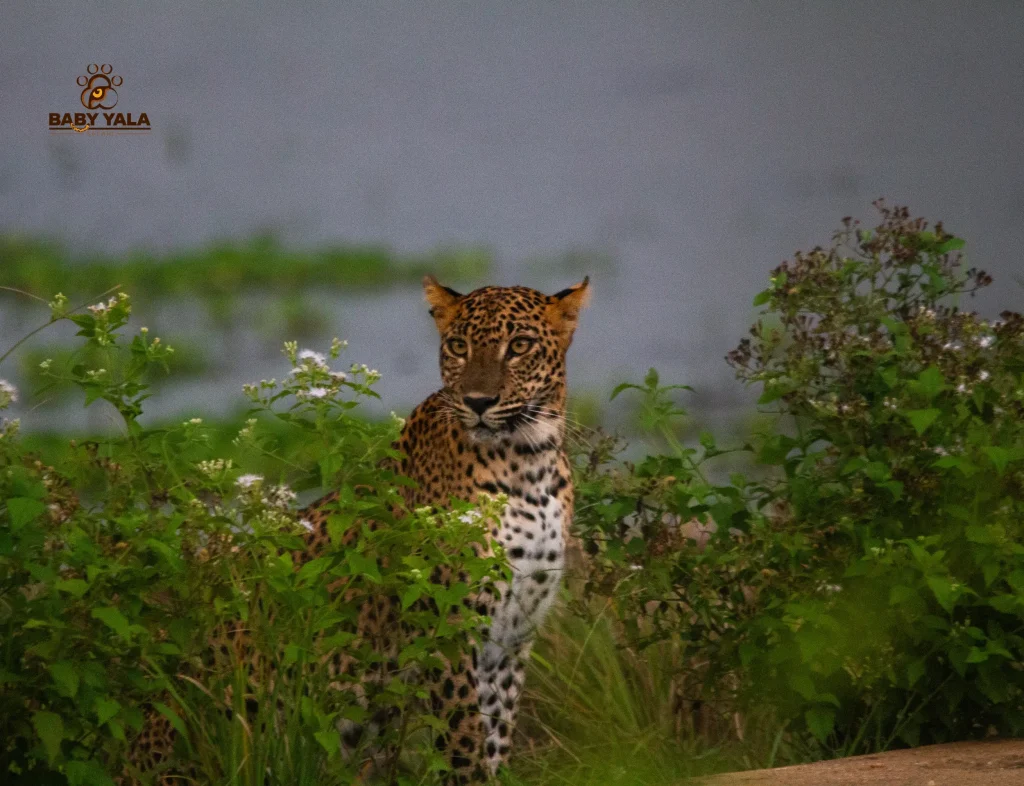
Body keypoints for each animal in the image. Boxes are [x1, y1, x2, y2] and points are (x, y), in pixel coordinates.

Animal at [126, 275, 590, 784]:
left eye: (520, 346)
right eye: (459, 346)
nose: (479, 403)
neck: (529, 464)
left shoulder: (513, 637)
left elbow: (496, 733)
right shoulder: (447, 631)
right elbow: (464, 740)